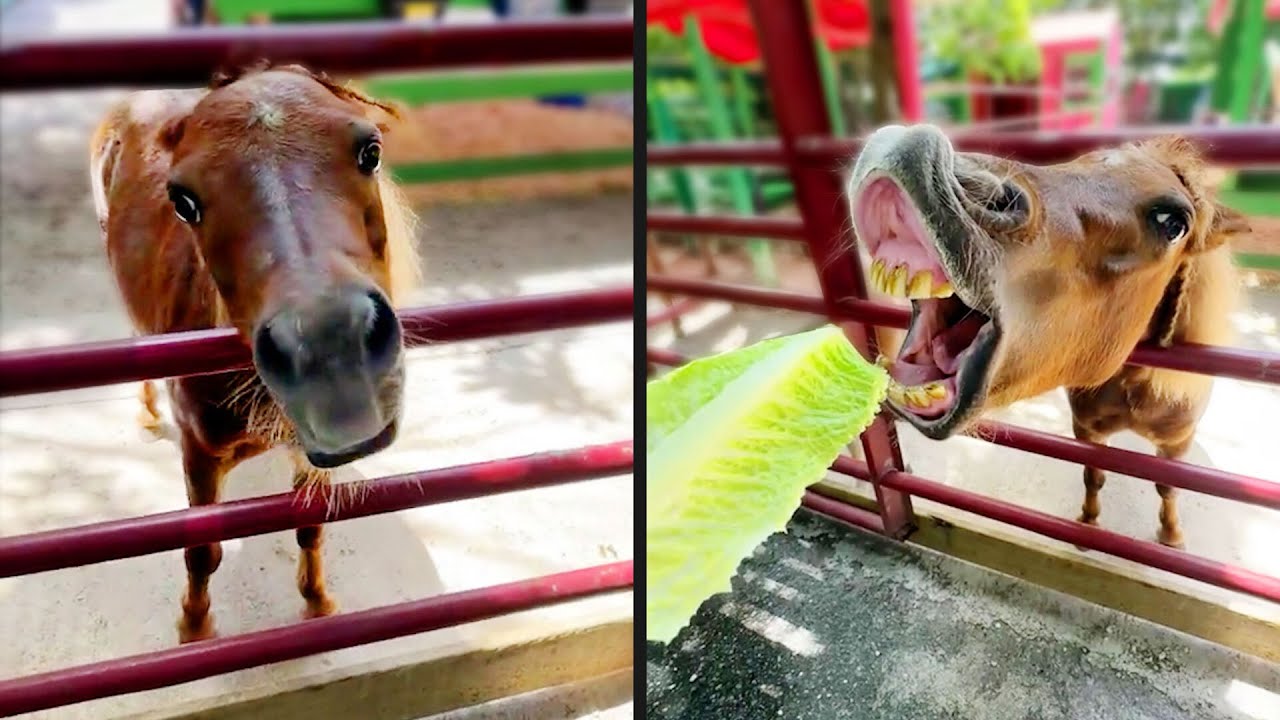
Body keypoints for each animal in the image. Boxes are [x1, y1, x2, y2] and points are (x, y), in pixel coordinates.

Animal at [89, 62, 420, 643]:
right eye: (184, 200)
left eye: (370, 151)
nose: (331, 351)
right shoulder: (198, 455)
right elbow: (202, 553)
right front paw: (194, 628)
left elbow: (309, 526)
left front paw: (317, 601)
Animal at [847, 125, 1248, 550]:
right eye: (1081, 161)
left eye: (1173, 223)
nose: (916, 145)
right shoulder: (1087, 429)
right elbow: (1093, 475)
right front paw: (1088, 525)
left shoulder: (1176, 443)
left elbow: (1168, 487)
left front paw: (1171, 536)